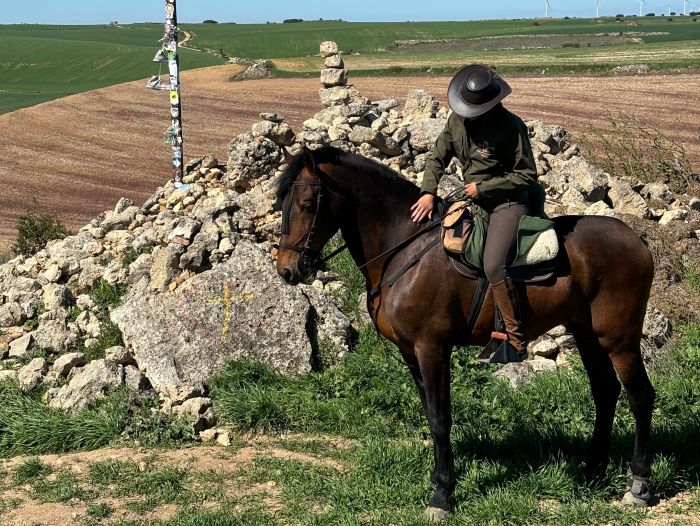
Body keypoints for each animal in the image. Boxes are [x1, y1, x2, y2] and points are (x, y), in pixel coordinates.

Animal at [274, 144, 656, 520]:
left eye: (307, 205)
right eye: (283, 205)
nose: (287, 271)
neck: (404, 248)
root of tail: (636, 241)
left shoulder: (432, 347)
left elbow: (440, 417)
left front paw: (442, 494)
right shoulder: (410, 352)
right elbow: (430, 413)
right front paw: (438, 479)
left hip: (619, 339)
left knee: (640, 396)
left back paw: (638, 485)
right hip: (587, 335)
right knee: (605, 392)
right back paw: (593, 471)